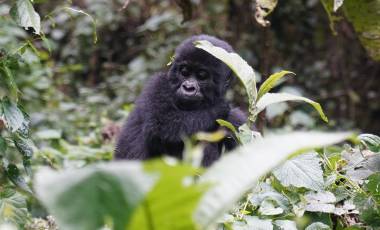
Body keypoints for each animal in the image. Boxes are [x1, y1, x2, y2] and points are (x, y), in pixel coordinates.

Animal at [116, 34, 245, 166]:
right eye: (184, 72)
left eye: (202, 76)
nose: (188, 88)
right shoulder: (157, 85)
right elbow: (161, 125)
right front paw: (220, 107)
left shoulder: (239, 123)